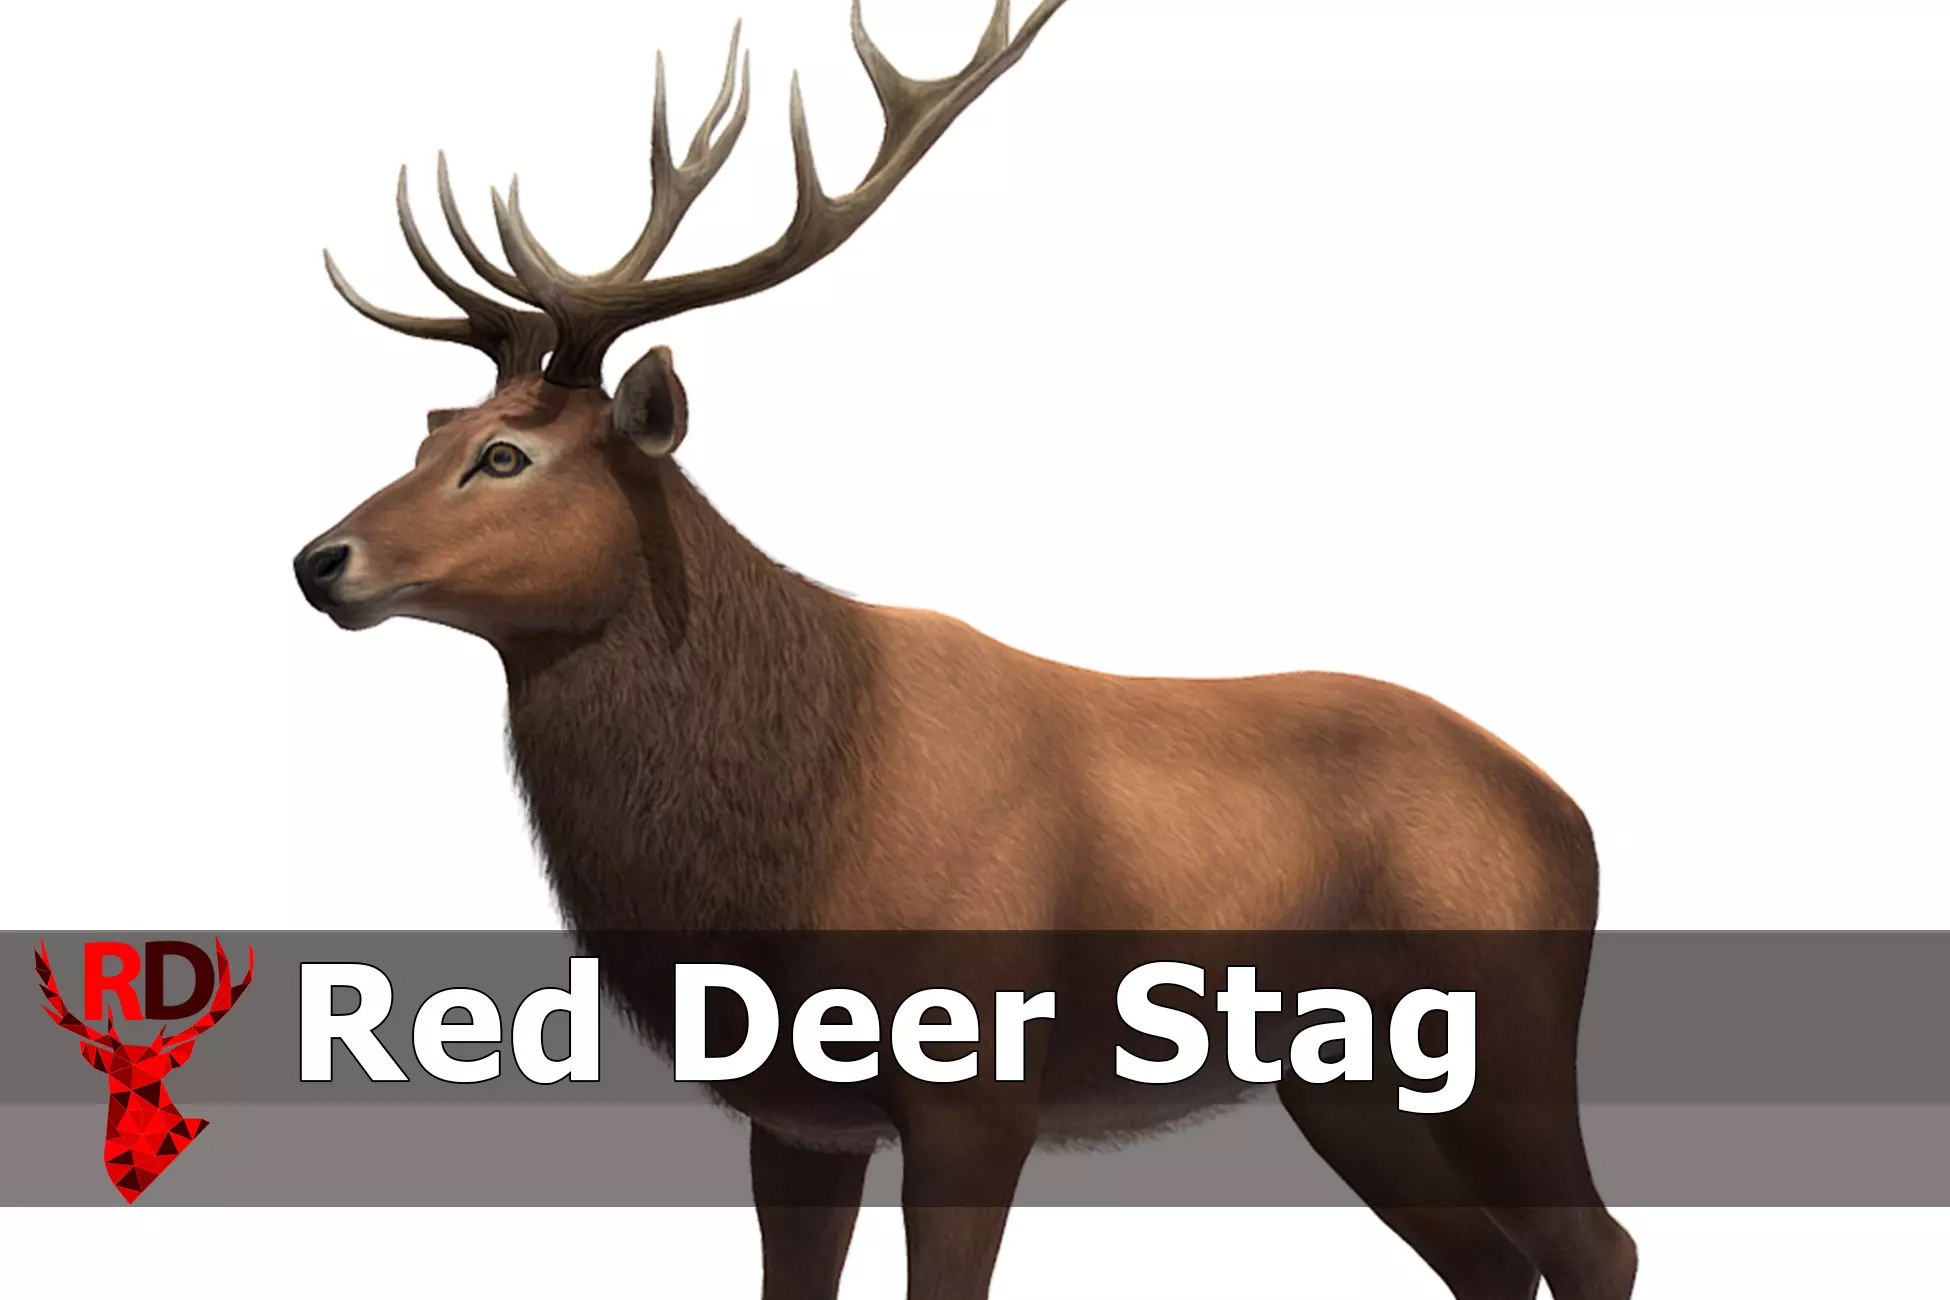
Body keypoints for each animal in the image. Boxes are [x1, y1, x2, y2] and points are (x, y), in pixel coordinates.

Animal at [293, 3, 1637, 1297]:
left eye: (505, 455)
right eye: (430, 436)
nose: (320, 559)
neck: (786, 841)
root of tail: (1567, 813)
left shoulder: (977, 1084)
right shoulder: (799, 1114)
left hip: (1500, 1022)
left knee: (1596, 1248)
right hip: (1345, 1080)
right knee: (1494, 1263)